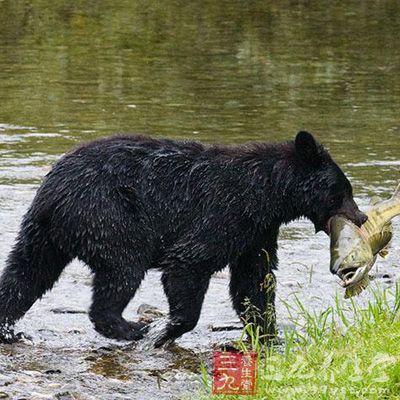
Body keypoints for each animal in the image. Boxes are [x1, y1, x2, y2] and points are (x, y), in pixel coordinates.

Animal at [0, 133, 366, 346]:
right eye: (342, 191)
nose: (361, 216)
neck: (267, 195)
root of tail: (53, 193)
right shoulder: (224, 212)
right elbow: (188, 262)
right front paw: (167, 330)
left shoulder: (256, 232)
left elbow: (253, 280)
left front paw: (267, 334)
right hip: (107, 215)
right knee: (122, 269)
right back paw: (129, 327)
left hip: (45, 234)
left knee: (25, 274)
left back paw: (7, 327)